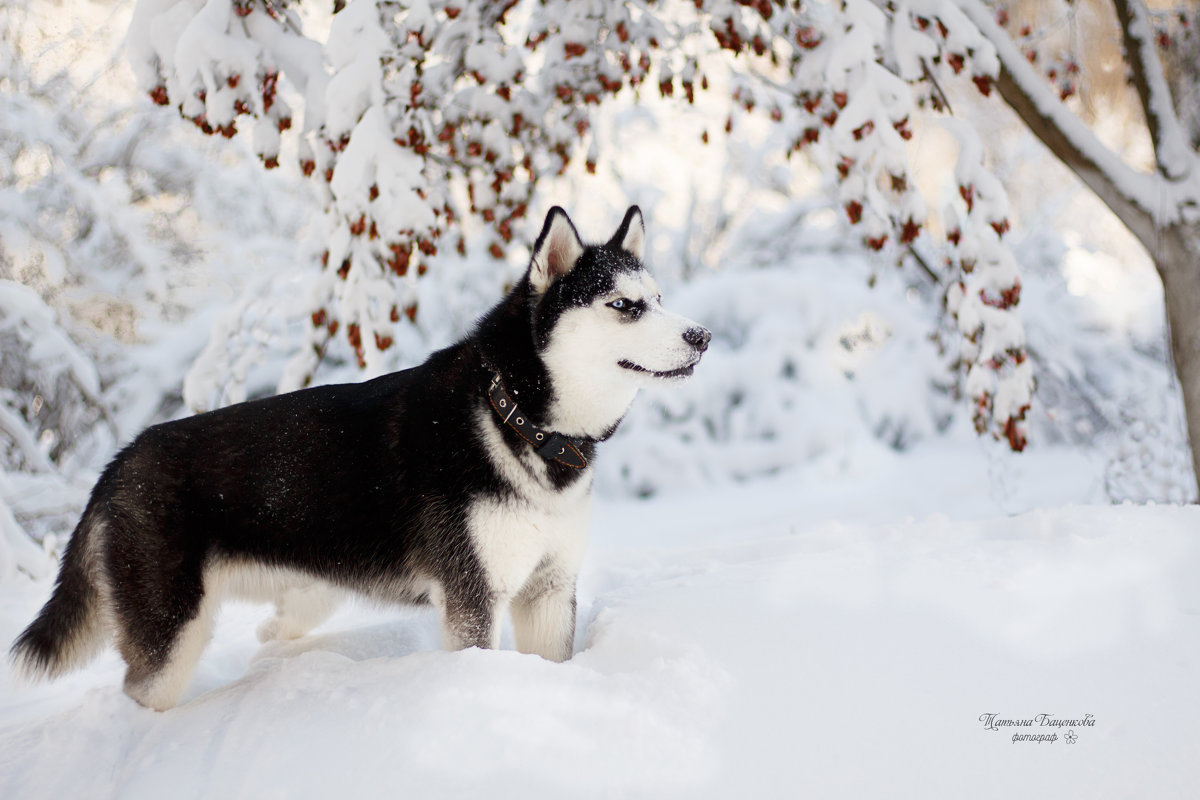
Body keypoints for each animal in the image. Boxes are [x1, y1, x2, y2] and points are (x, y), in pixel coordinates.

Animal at [11, 206, 710, 714]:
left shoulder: (548, 589)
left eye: (658, 297)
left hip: (301, 599)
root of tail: (118, 460)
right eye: (623, 305)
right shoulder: (472, 599)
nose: (701, 335)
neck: (516, 416)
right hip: (173, 635)